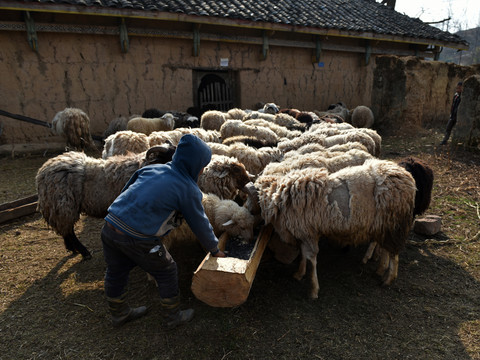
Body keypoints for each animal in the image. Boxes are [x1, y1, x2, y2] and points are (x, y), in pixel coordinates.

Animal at [255, 158, 416, 298]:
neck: (280, 196)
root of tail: (406, 177)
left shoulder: (308, 232)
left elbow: (311, 258)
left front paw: (313, 289)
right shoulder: (304, 233)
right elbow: (303, 255)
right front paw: (299, 273)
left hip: (394, 224)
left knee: (394, 253)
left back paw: (389, 278)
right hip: (384, 226)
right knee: (385, 249)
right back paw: (381, 269)